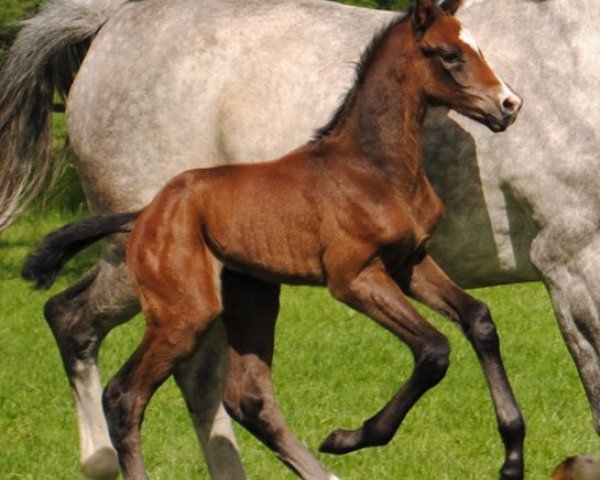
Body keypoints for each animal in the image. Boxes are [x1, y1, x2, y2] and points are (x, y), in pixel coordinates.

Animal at [2, 0, 596, 478]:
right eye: (448, 54)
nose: (509, 105)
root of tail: (109, 22)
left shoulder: (415, 264)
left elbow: (478, 325)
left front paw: (512, 455)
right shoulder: (566, 261)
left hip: (230, 292)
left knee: (219, 386)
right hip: (154, 281)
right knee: (83, 333)